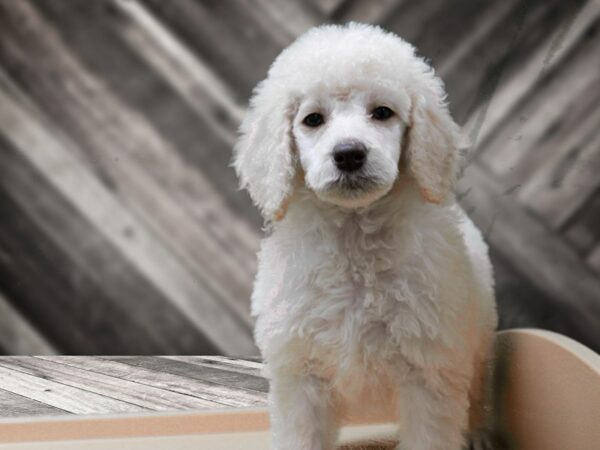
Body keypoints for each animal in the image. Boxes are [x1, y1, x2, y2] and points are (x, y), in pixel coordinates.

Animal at [233, 23, 496, 450]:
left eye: (382, 113)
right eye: (313, 120)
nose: (349, 154)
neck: (354, 236)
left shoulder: (429, 372)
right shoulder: (301, 375)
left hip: (478, 333)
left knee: (480, 381)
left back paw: (480, 432)